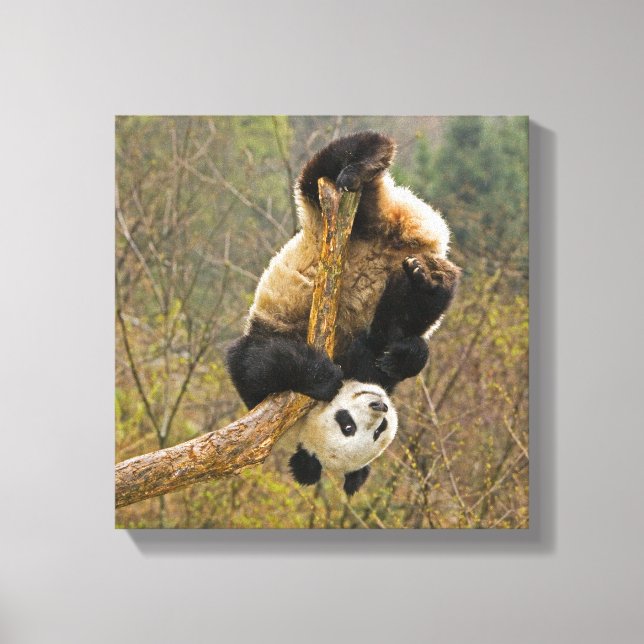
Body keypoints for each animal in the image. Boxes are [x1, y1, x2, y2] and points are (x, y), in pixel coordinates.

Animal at [227, 131, 461, 493]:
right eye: (347, 426)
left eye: (378, 430)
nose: (379, 405)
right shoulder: (269, 384)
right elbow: (259, 362)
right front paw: (323, 376)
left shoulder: (369, 364)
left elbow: (394, 343)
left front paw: (401, 356)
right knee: (321, 174)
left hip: (369, 218)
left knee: (337, 161)